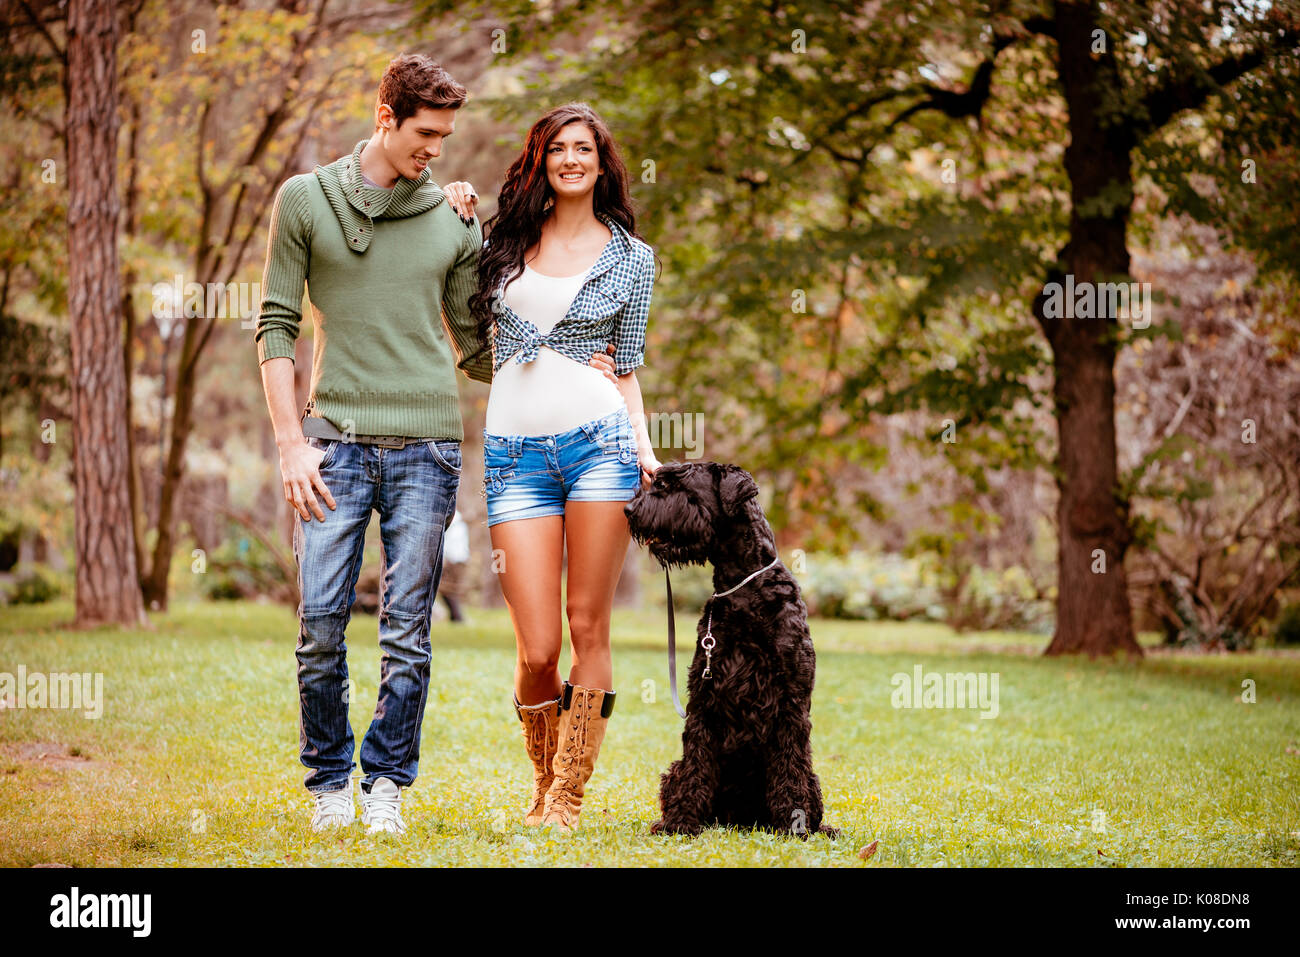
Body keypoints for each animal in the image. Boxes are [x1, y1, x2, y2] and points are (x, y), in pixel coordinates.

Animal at [624, 460, 837, 832]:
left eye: (678, 486)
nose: (630, 509)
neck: (744, 588)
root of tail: (741, 819)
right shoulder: (704, 699)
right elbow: (697, 763)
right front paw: (681, 823)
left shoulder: (792, 702)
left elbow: (790, 766)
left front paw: (793, 825)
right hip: (676, 771)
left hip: (812, 779)